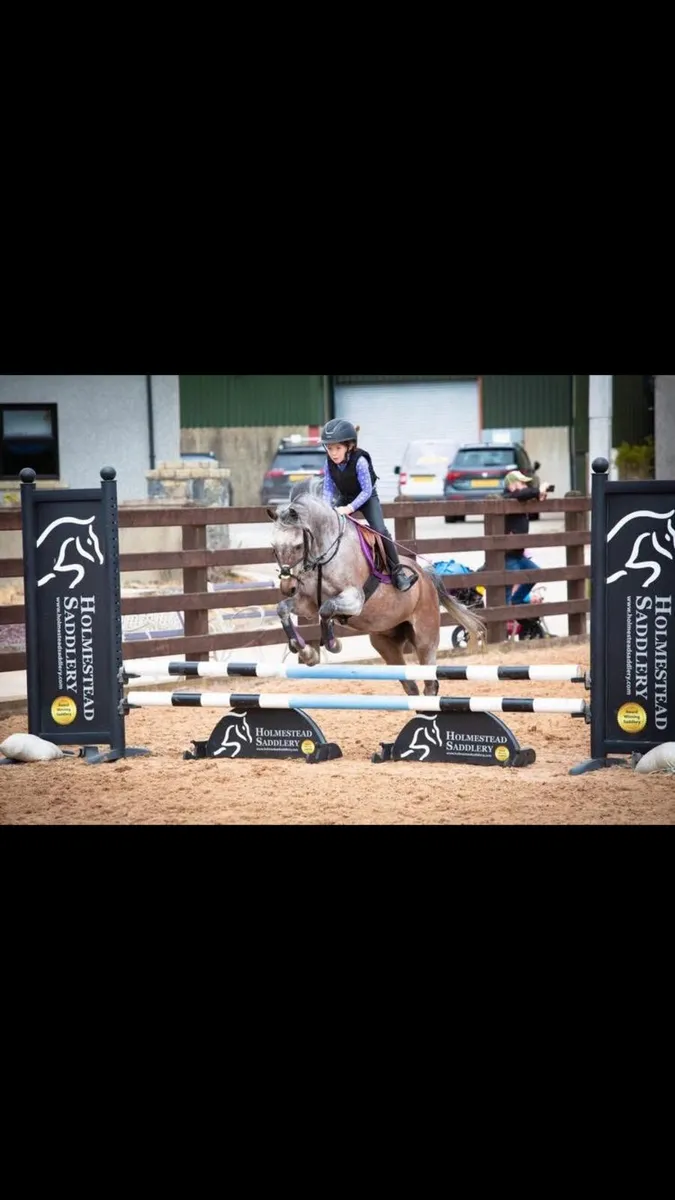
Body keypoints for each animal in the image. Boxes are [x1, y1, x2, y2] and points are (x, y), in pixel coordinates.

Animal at [267, 479, 485, 697]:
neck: (325, 554)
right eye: (273, 548)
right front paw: (306, 652)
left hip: (425, 640)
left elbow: (327, 609)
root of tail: (426, 577)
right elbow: (283, 608)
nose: (287, 587)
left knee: (430, 683)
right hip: (385, 643)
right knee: (410, 685)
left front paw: (333, 645)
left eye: (297, 546)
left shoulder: (355, 600)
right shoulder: (308, 604)